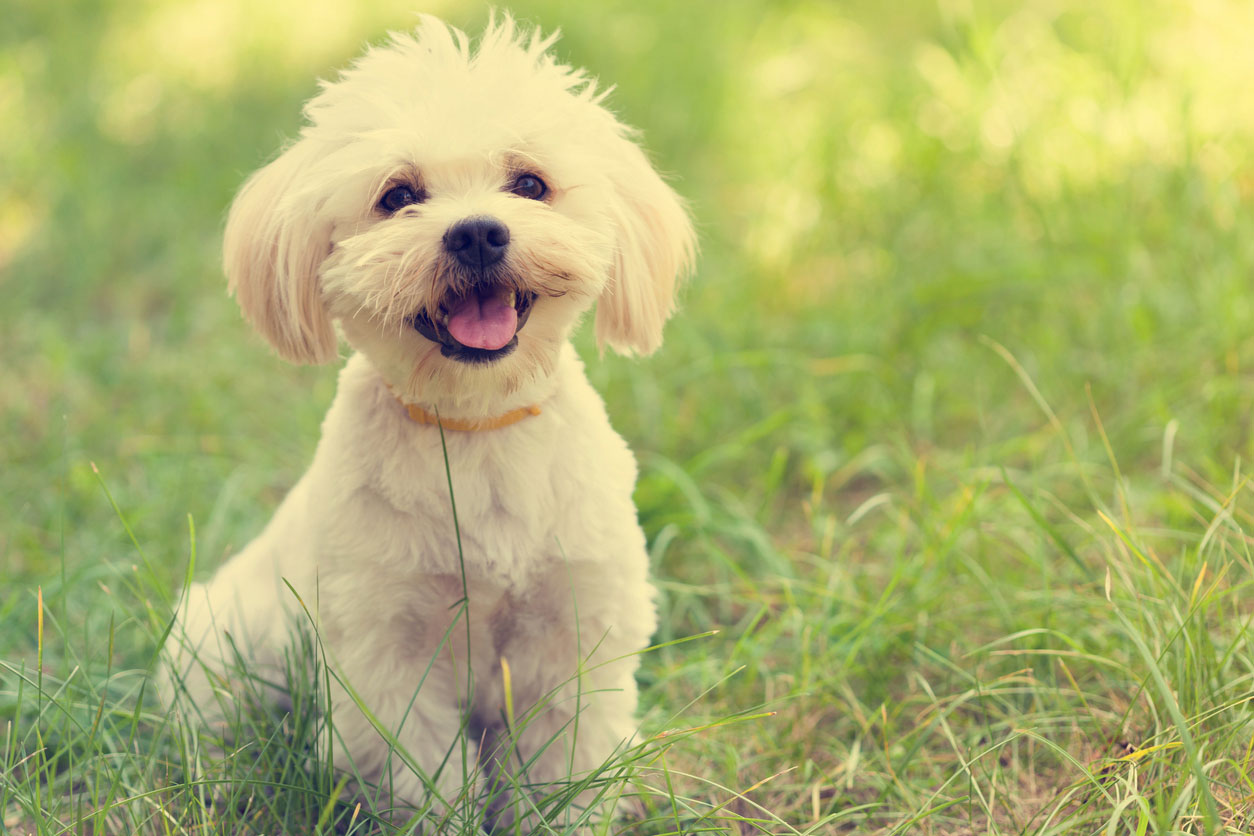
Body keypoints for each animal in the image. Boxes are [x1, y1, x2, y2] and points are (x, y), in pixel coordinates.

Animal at [156, 11, 697, 832]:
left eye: (530, 184)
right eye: (398, 195)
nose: (476, 232)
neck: (476, 430)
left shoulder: (573, 632)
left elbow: (563, 767)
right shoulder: (387, 657)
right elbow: (426, 775)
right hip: (220, 646)